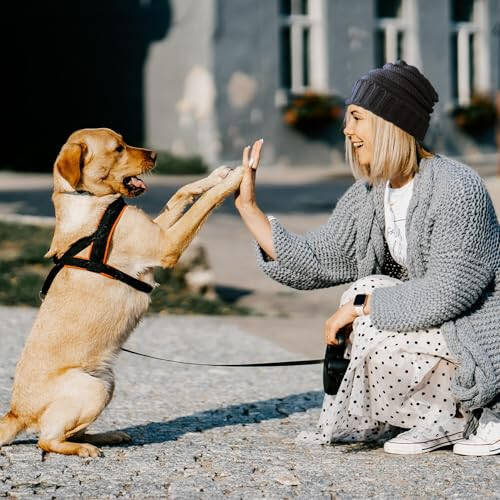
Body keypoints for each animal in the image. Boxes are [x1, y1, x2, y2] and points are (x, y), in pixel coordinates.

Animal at [0, 128, 244, 458]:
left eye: (124, 140)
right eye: (118, 149)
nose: (155, 154)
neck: (91, 201)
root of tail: (16, 411)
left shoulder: (158, 230)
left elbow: (182, 193)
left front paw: (217, 175)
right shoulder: (166, 244)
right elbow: (204, 204)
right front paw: (238, 177)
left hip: (106, 382)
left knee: (70, 431)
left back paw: (106, 436)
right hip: (91, 388)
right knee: (47, 439)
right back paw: (84, 449)